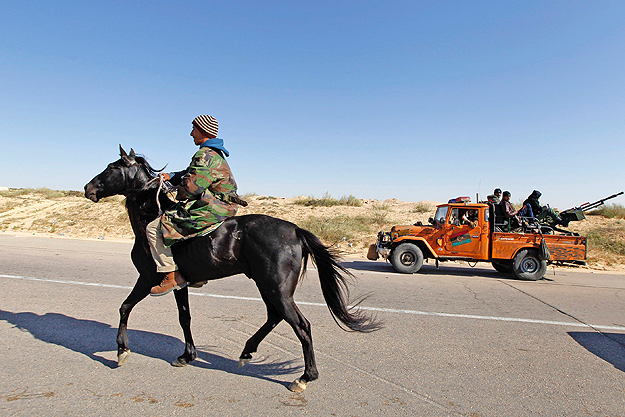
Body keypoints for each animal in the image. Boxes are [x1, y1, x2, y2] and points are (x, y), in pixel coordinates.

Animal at [82, 145, 376, 390]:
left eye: (111, 167)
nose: (88, 188)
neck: (150, 217)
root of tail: (295, 230)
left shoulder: (146, 278)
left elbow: (124, 307)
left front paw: (121, 351)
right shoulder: (179, 284)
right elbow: (184, 317)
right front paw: (187, 356)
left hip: (276, 289)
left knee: (301, 325)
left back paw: (304, 377)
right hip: (266, 286)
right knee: (274, 317)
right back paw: (247, 352)